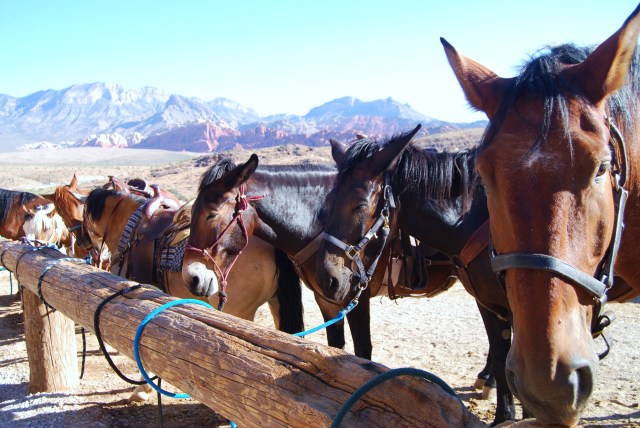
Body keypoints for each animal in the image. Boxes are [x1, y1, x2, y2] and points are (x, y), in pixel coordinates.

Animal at [314, 128, 516, 425]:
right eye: (327, 201)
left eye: (360, 204)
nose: (327, 279)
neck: (481, 219)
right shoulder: (488, 303)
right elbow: (503, 359)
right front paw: (504, 416)